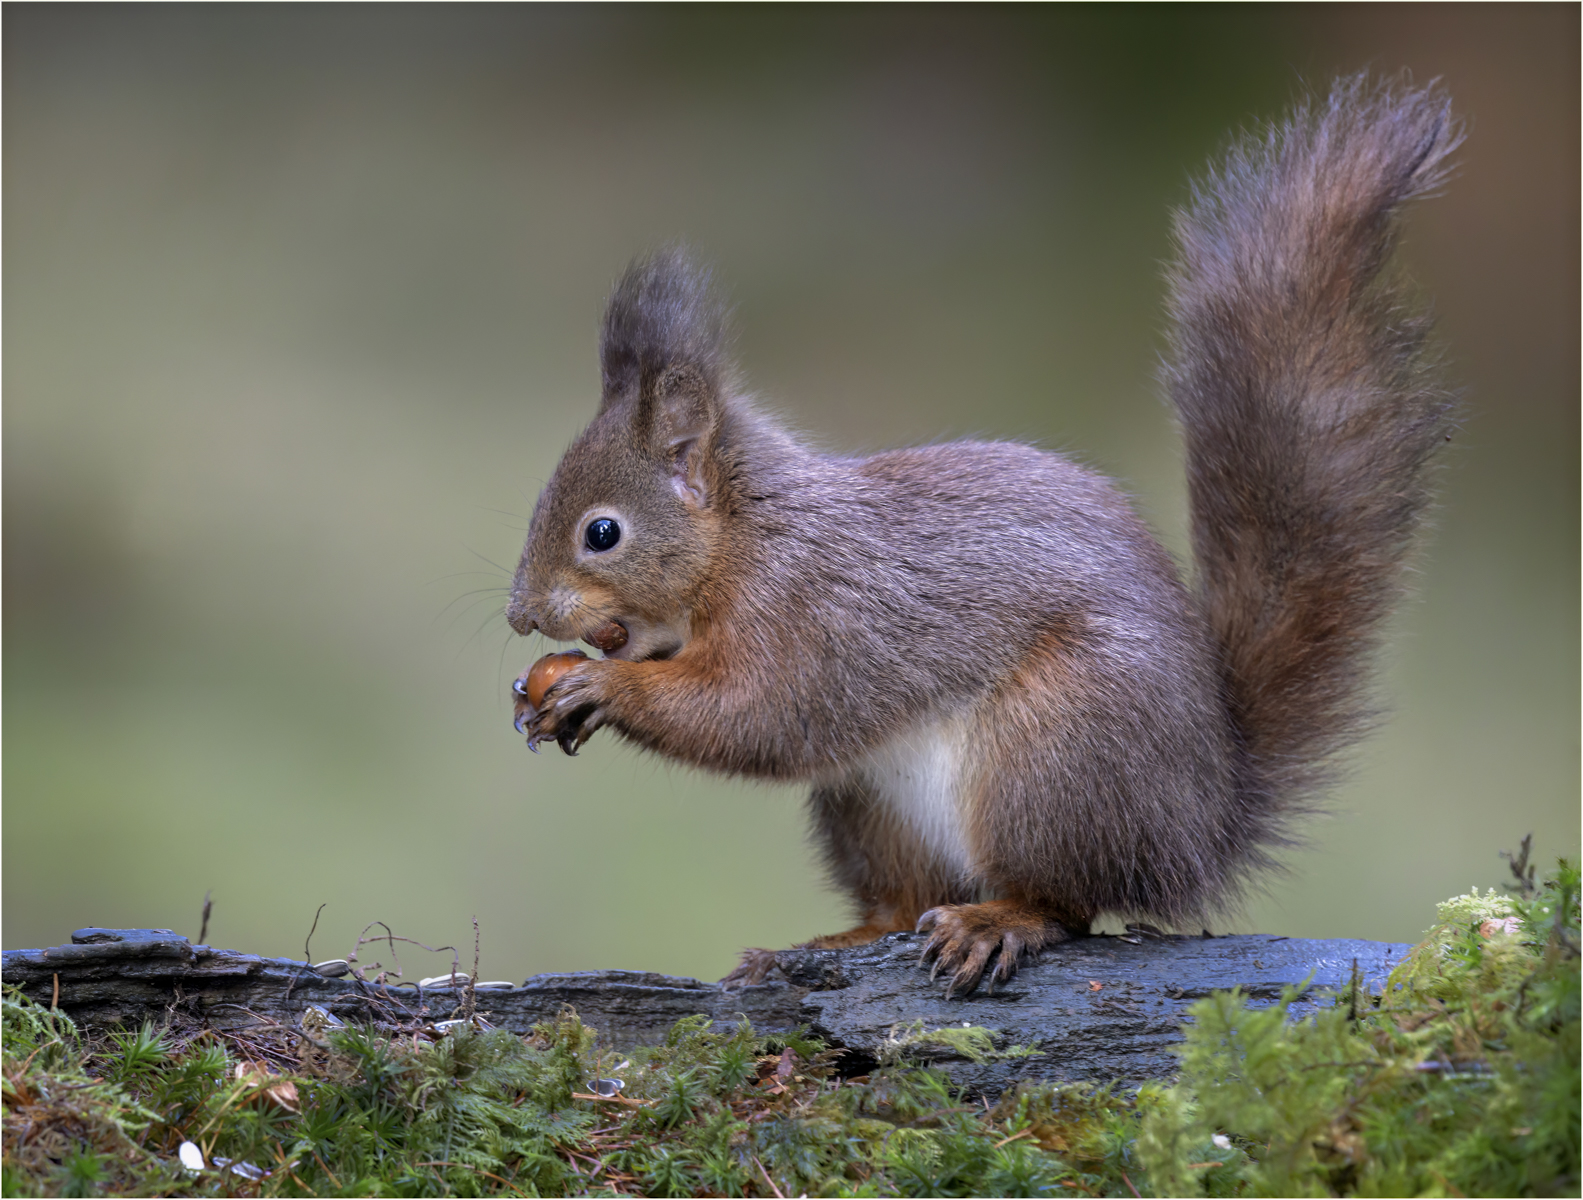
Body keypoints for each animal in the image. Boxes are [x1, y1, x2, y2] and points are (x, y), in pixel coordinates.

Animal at [506, 76, 1460, 996]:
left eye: (602, 532)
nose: (521, 616)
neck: (743, 540)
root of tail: (1198, 829)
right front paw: (538, 694)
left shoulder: (813, 614)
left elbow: (756, 714)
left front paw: (601, 688)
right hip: (869, 807)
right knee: (902, 902)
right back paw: (821, 945)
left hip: (1051, 755)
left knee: (1068, 901)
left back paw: (997, 923)